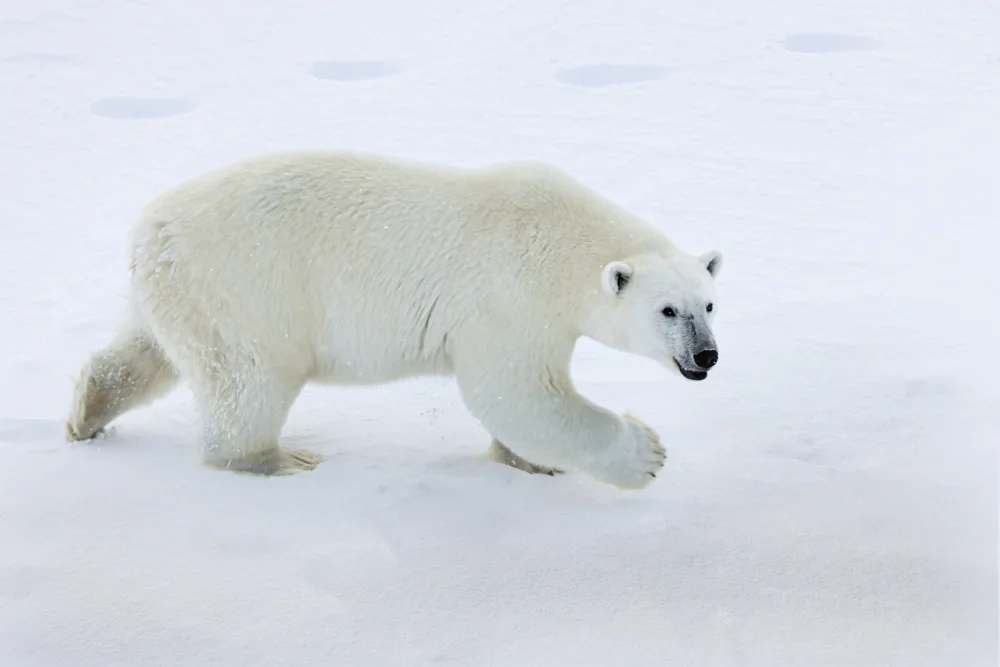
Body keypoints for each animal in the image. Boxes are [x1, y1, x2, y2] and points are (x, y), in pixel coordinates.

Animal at [65, 150, 723, 490]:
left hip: (180, 290)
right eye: (668, 310)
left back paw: (87, 412)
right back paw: (276, 458)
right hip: (246, 288)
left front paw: (530, 461)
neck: (562, 239)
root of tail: (153, 230)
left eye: (710, 303)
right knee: (248, 379)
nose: (706, 355)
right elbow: (517, 391)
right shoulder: (509, 298)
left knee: (146, 352)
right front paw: (645, 454)